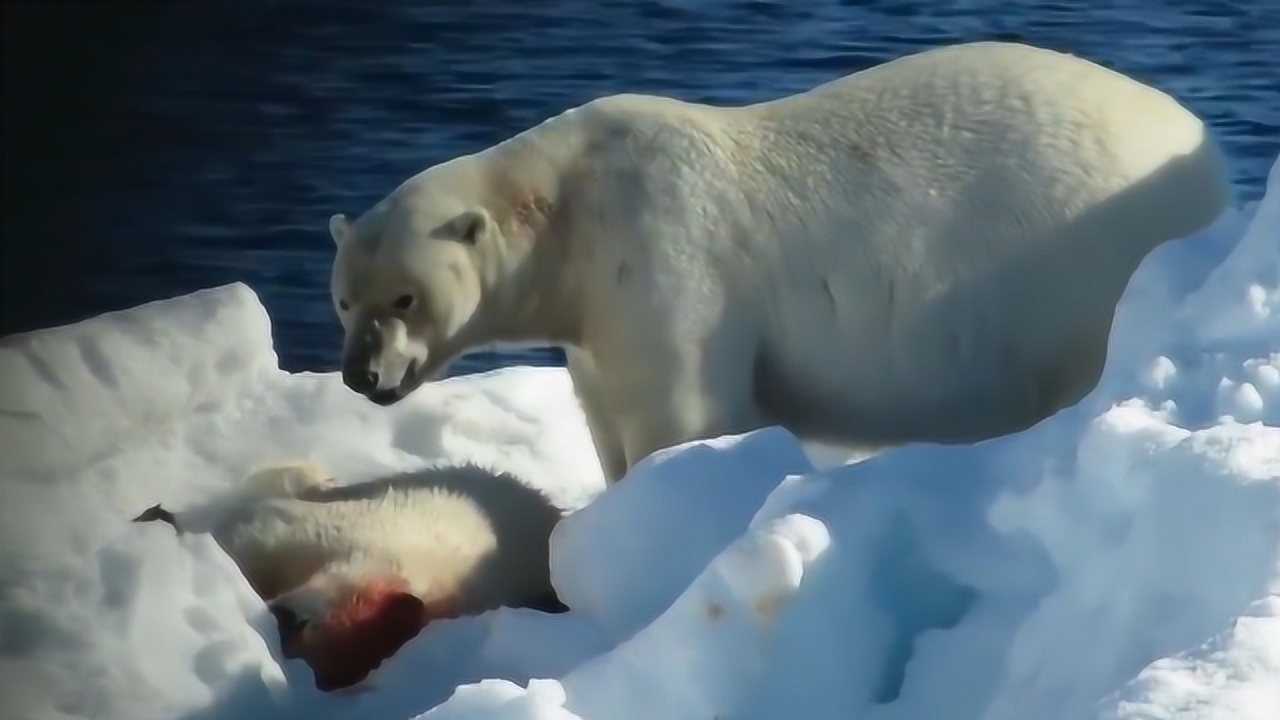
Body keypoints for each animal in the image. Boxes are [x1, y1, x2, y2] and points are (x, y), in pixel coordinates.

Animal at [327, 41, 1229, 482]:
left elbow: (683, 417)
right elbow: (607, 421)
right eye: (344, 299)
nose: (360, 375)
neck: (570, 207)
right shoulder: (595, 328)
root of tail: (1205, 152)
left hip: (1089, 266)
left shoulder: (663, 267)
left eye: (404, 298)